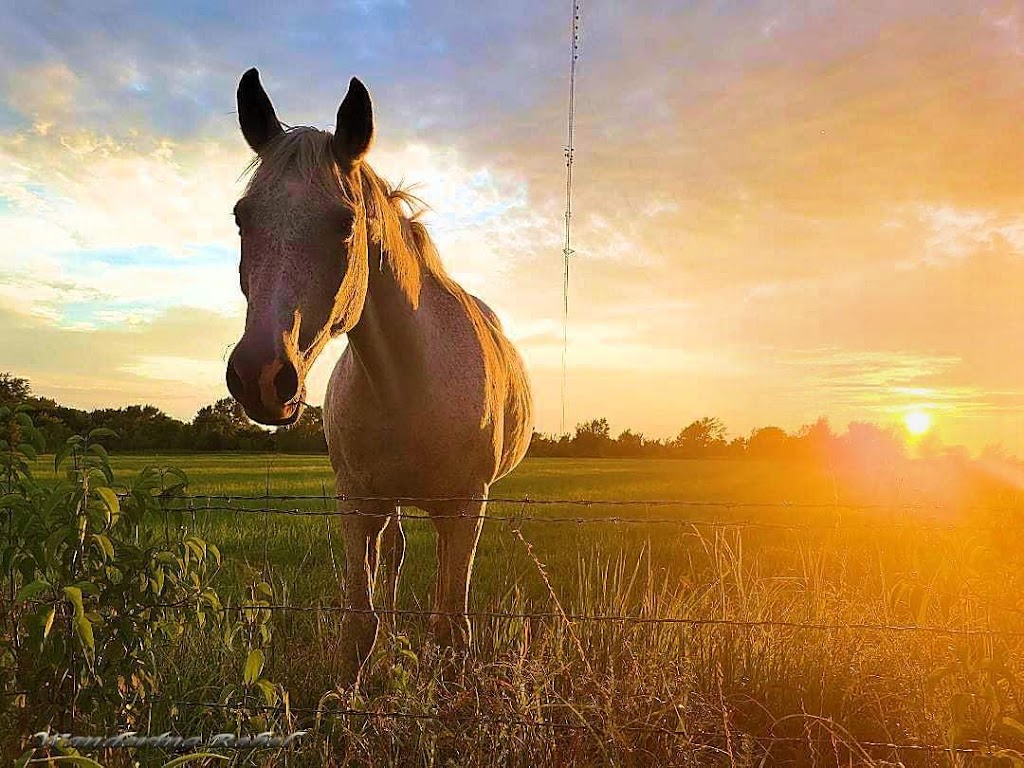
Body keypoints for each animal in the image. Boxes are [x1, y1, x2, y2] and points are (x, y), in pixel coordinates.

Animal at [226, 70, 536, 684]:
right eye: (242, 217)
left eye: (345, 222)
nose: (259, 376)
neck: (410, 384)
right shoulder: (358, 503)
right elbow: (359, 625)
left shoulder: (465, 508)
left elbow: (452, 626)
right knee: (394, 556)